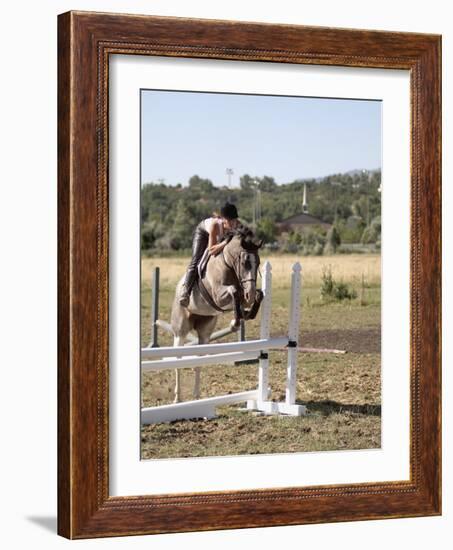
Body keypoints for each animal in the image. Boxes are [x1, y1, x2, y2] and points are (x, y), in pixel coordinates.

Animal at [170, 226, 264, 404]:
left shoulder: (243, 295)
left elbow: (257, 295)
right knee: (177, 359)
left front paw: (245, 315)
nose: (249, 293)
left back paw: (196, 397)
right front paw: (235, 323)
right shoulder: (218, 296)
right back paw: (177, 398)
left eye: (258, 263)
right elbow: (234, 291)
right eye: (245, 263)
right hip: (180, 330)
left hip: (205, 332)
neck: (228, 264)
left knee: (199, 359)